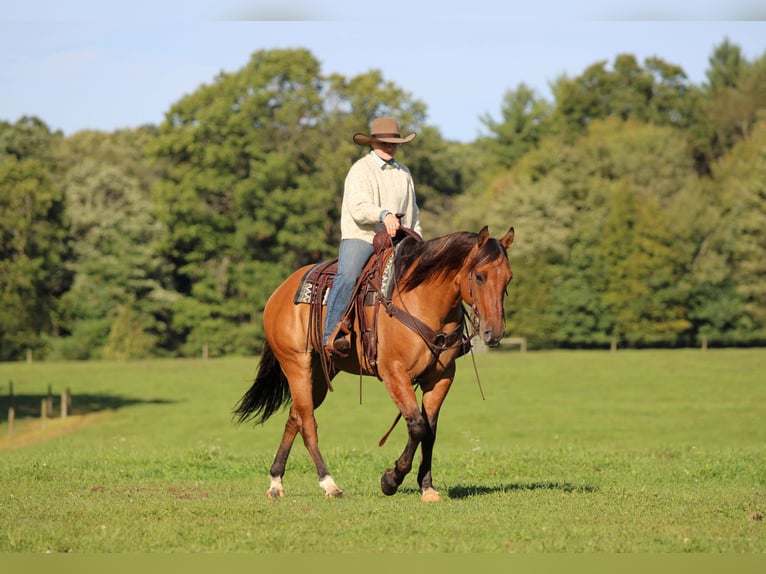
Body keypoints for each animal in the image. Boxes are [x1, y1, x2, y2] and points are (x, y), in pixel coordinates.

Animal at [233, 225, 514, 502]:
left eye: (508, 278)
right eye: (479, 276)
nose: (494, 332)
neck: (422, 301)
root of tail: (278, 293)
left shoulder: (441, 377)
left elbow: (430, 431)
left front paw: (427, 487)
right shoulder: (394, 373)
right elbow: (417, 426)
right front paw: (391, 479)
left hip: (320, 375)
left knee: (296, 417)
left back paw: (276, 482)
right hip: (296, 365)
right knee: (308, 422)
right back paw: (329, 484)